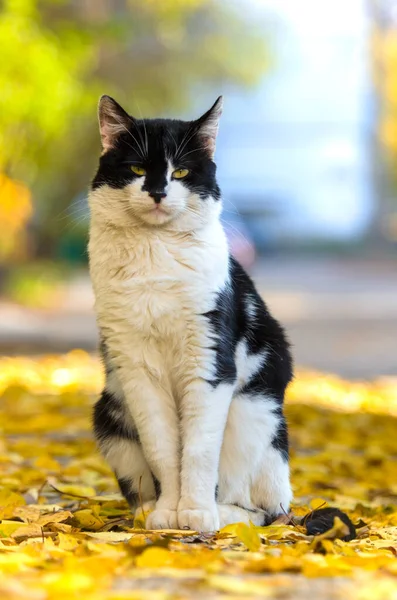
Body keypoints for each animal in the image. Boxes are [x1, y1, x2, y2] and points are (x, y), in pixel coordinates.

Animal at [90, 96, 294, 532]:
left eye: (181, 171)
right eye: (136, 169)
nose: (158, 192)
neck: (155, 251)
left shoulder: (209, 361)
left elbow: (198, 448)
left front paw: (196, 512)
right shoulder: (136, 369)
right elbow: (163, 447)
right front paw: (169, 511)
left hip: (253, 413)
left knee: (264, 509)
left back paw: (223, 514)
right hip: (110, 416)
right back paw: (147, 510)